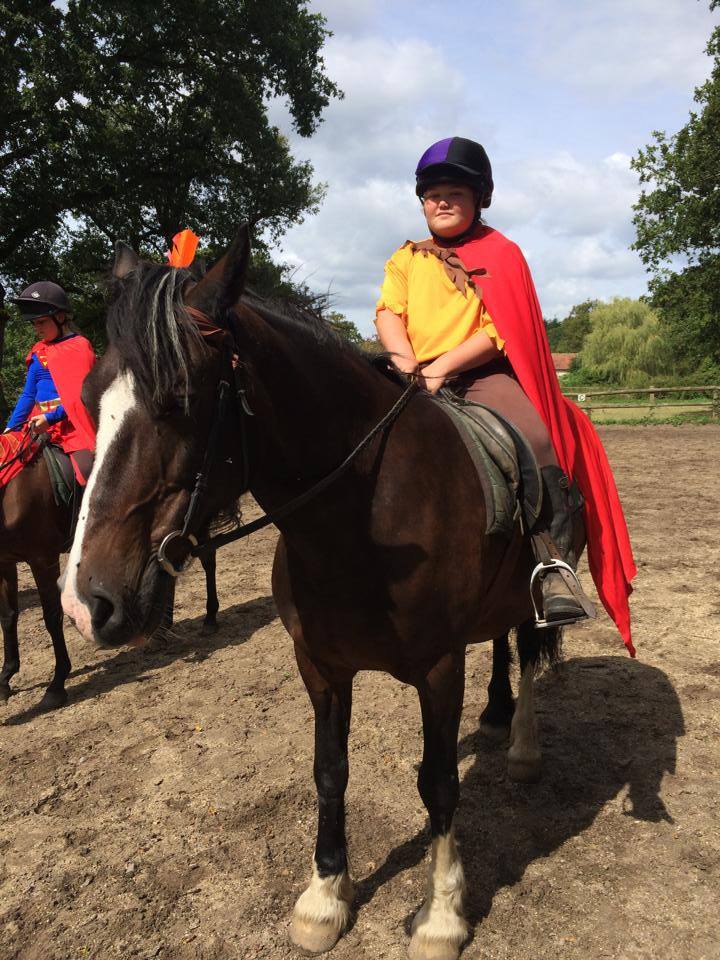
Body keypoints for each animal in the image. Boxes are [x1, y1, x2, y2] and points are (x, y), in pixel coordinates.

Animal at [0, 442, 222, 711]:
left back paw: (210, 618)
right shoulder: (5, 562)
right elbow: (8, 618)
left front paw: (56, 685)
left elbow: (52, 618)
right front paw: (6, 677)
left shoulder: (42, 559)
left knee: (208, 560)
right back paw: (161, 631)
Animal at [61, 226, 561, 960]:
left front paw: (441, 915)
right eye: (91, 399)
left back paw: (523, 743)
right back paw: (497, 714)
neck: (362, 521)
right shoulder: (320, 668)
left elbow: (438, 783)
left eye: (179, 398)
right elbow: (330, 771)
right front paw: (326, 897)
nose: (85, 603)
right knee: (499, 641)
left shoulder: (440, 670)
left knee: (528, 646)